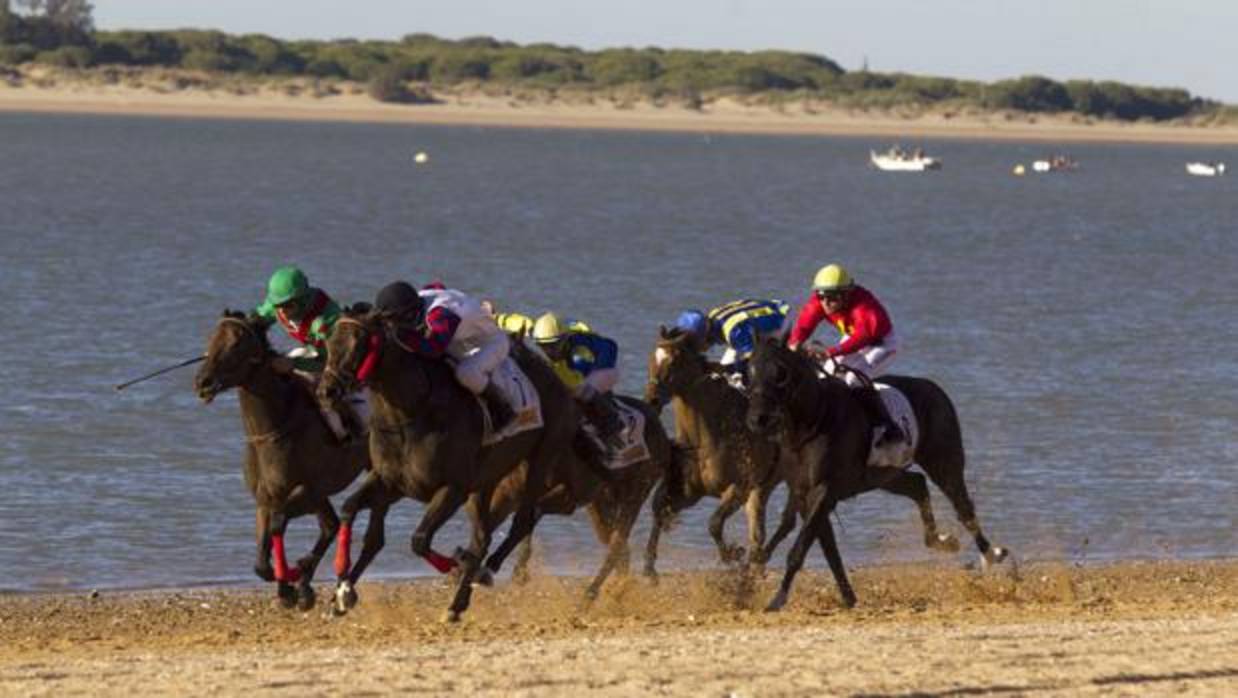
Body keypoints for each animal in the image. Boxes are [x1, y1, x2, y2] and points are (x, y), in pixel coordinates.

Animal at [191, 310, 366, 611]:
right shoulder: (266, 497)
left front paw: (292, 580)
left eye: (236, 344)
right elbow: (262, 558)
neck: (273, 430)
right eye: (211, 339)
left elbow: (278, 524)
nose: (203, 383)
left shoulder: (308, 491)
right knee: (329, 525)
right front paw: (291, 587)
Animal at [319, 306, 589, 621]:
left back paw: (479, 576)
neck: (409, 413)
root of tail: (558, 380)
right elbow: (353, 515)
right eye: (329, 343)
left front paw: (458, 565)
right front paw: (343, 592)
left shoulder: (453, 489)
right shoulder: (390, 482)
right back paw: (459, 600)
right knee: (483, 536)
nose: (327, 391)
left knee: (521, 521)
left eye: (359, 344)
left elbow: (419, 540)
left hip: (539, 461)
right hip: (487, 480)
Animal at [638, 329, 782, 574]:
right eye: (651, 358)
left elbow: (714, 523)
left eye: (674, 361)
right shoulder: (688, 492)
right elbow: (659, 509)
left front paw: (732, 553)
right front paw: (649, 569)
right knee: (757, 534)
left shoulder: (739, 487)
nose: (652, 399)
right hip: (763, 487)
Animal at [742, 334, 1005, 608]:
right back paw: (942, 540)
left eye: (780, 372)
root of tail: (934, 388)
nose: (757, 419)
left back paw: (991, 554)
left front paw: (777, 598)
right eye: (748, 372)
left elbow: (801, 547)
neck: (814, 421)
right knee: (917, 484)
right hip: (886, 474)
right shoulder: (804, 491)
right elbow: (827, 547)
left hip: (944, 462)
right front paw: (848, 597)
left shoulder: (824, 490)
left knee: (963, 507)